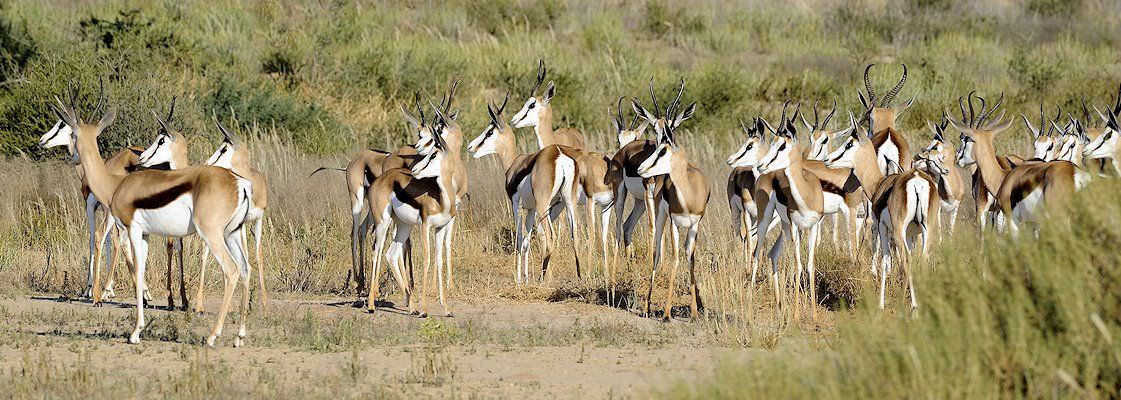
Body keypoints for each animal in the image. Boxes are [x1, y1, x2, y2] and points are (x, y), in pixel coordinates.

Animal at [52, 91, 254, 345]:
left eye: (71, 133)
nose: (75, 159)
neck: (116, 184)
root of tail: (240, 183)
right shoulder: (146, 234)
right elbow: (140, 271)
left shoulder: (133, 229)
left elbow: (138, 272)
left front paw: (136, 332)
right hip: (232, 233)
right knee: (246, 269)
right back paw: (239, 336)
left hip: (212, 234)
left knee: (232, 270)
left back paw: (212, 335)